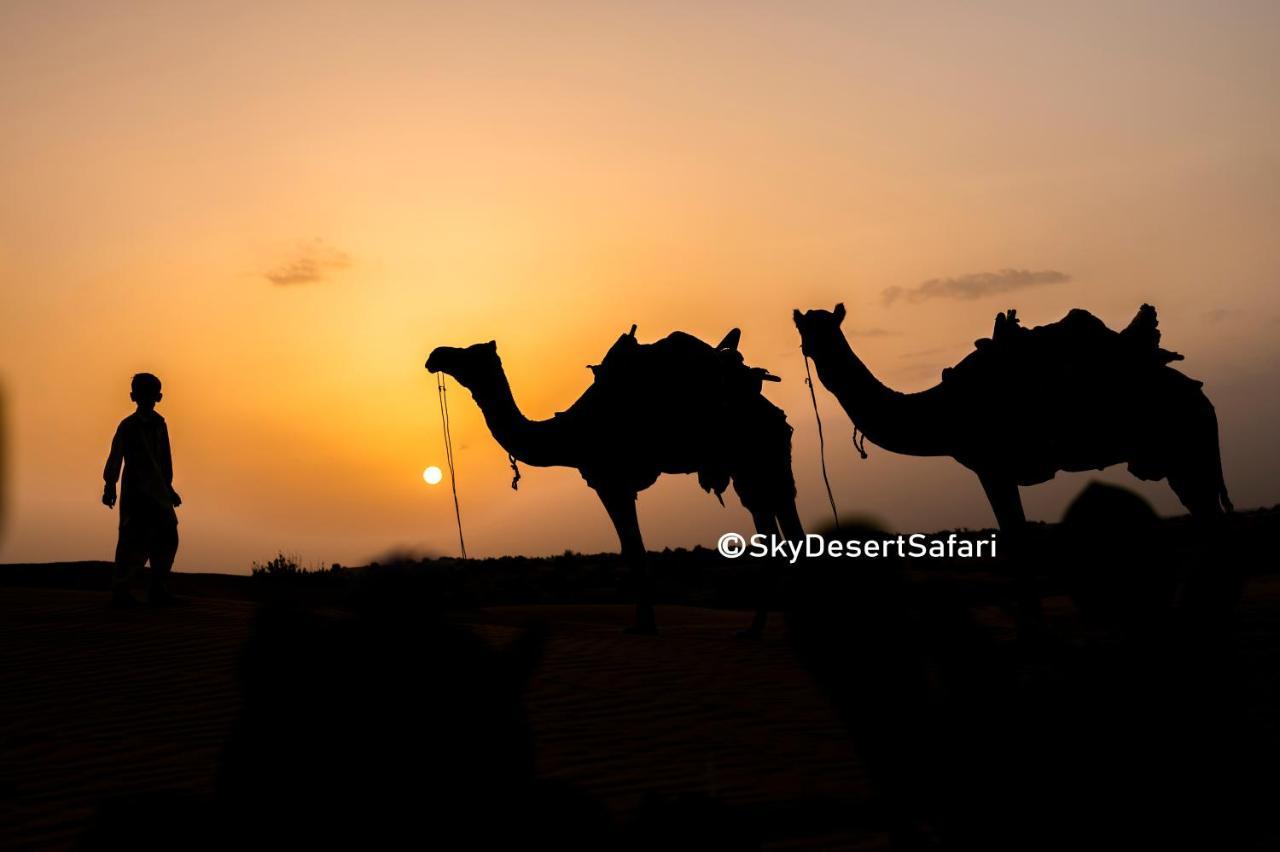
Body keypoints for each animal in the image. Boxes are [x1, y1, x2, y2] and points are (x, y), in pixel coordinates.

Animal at [424, 326, 803, 637]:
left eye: (469, 353)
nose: (435, 355)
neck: (567, 433)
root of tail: (772, 409)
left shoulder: (609, 481)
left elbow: (633, 549)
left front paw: (643, 624)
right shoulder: (616, 484)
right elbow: (633, 548)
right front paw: (644, 621)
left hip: (758, 458)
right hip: (756, 467)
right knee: (779, 525)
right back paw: (759, 627)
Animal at [798, 301, 1228, 532]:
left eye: (829, 327)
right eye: (805, 326)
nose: (810, 346)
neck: (943, 409)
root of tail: (1201, 394)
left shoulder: (992, 466)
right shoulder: (993, 470)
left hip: (1188, 451)